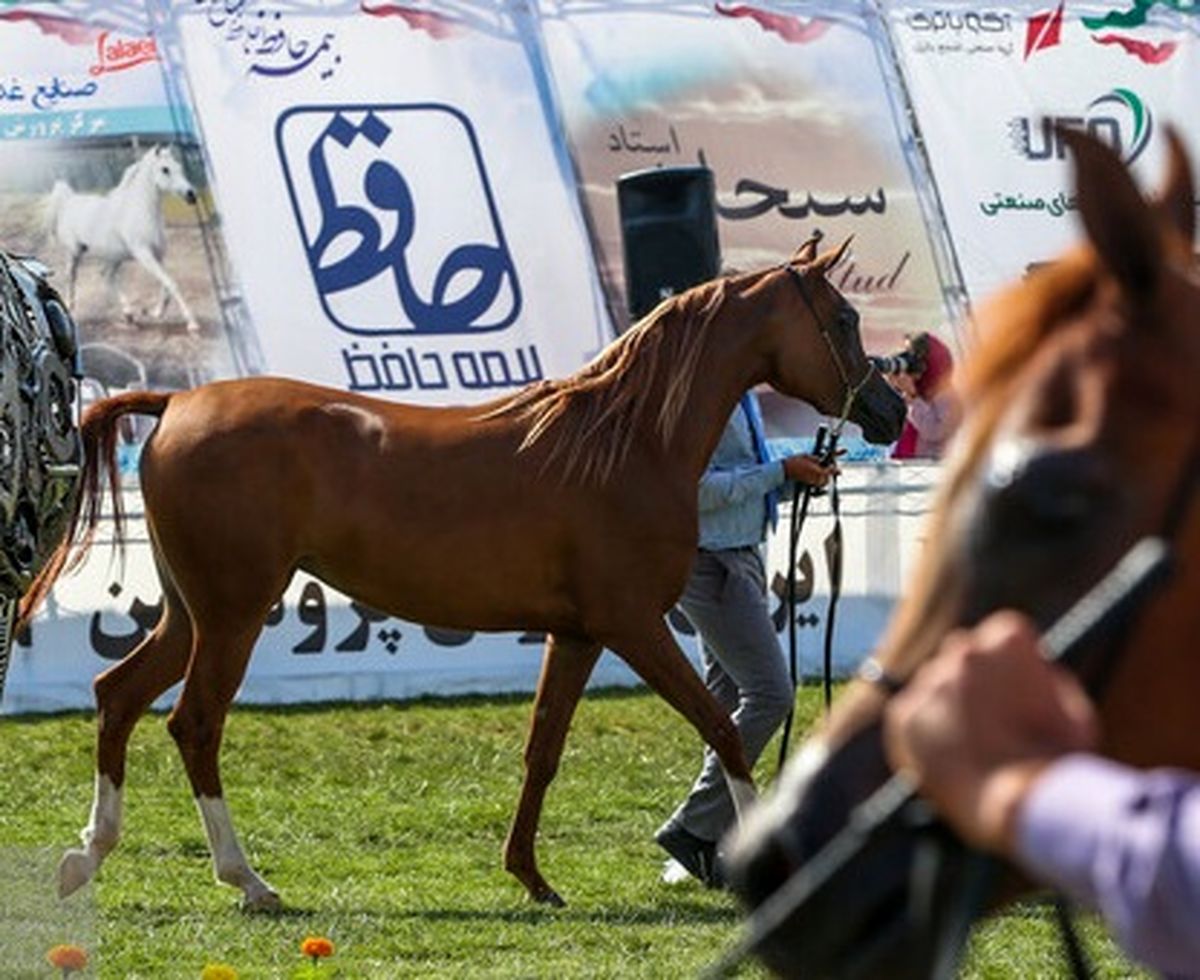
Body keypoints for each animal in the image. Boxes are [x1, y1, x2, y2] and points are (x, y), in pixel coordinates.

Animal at [21, 242, 902, 911]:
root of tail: (176, 404)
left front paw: (532, 878)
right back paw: (250, 882)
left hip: (189, 615)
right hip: (232, 617)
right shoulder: (634, 627)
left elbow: (543, 749)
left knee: (117, 697)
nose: (890, 411)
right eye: (844, 318)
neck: (626, 442)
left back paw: (85, 857)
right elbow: (721, 727)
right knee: (194, 724)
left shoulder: (578, 636)